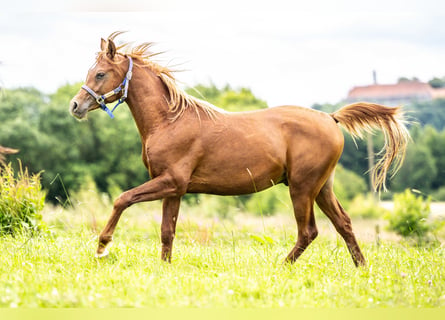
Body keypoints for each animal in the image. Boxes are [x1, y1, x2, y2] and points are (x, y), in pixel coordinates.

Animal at [70, 32, 410, 268]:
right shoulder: (174, 189)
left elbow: (122, 199)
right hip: (322, 187)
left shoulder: (171, 182)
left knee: (309, 231)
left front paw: (102, 246)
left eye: (100, 74)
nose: (75, 105)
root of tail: (331, 117)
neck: (169, 120)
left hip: (302, 188)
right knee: (344, 224)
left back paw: (282, 266)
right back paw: (361, 268)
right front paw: (164, 267)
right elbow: (167, 231)